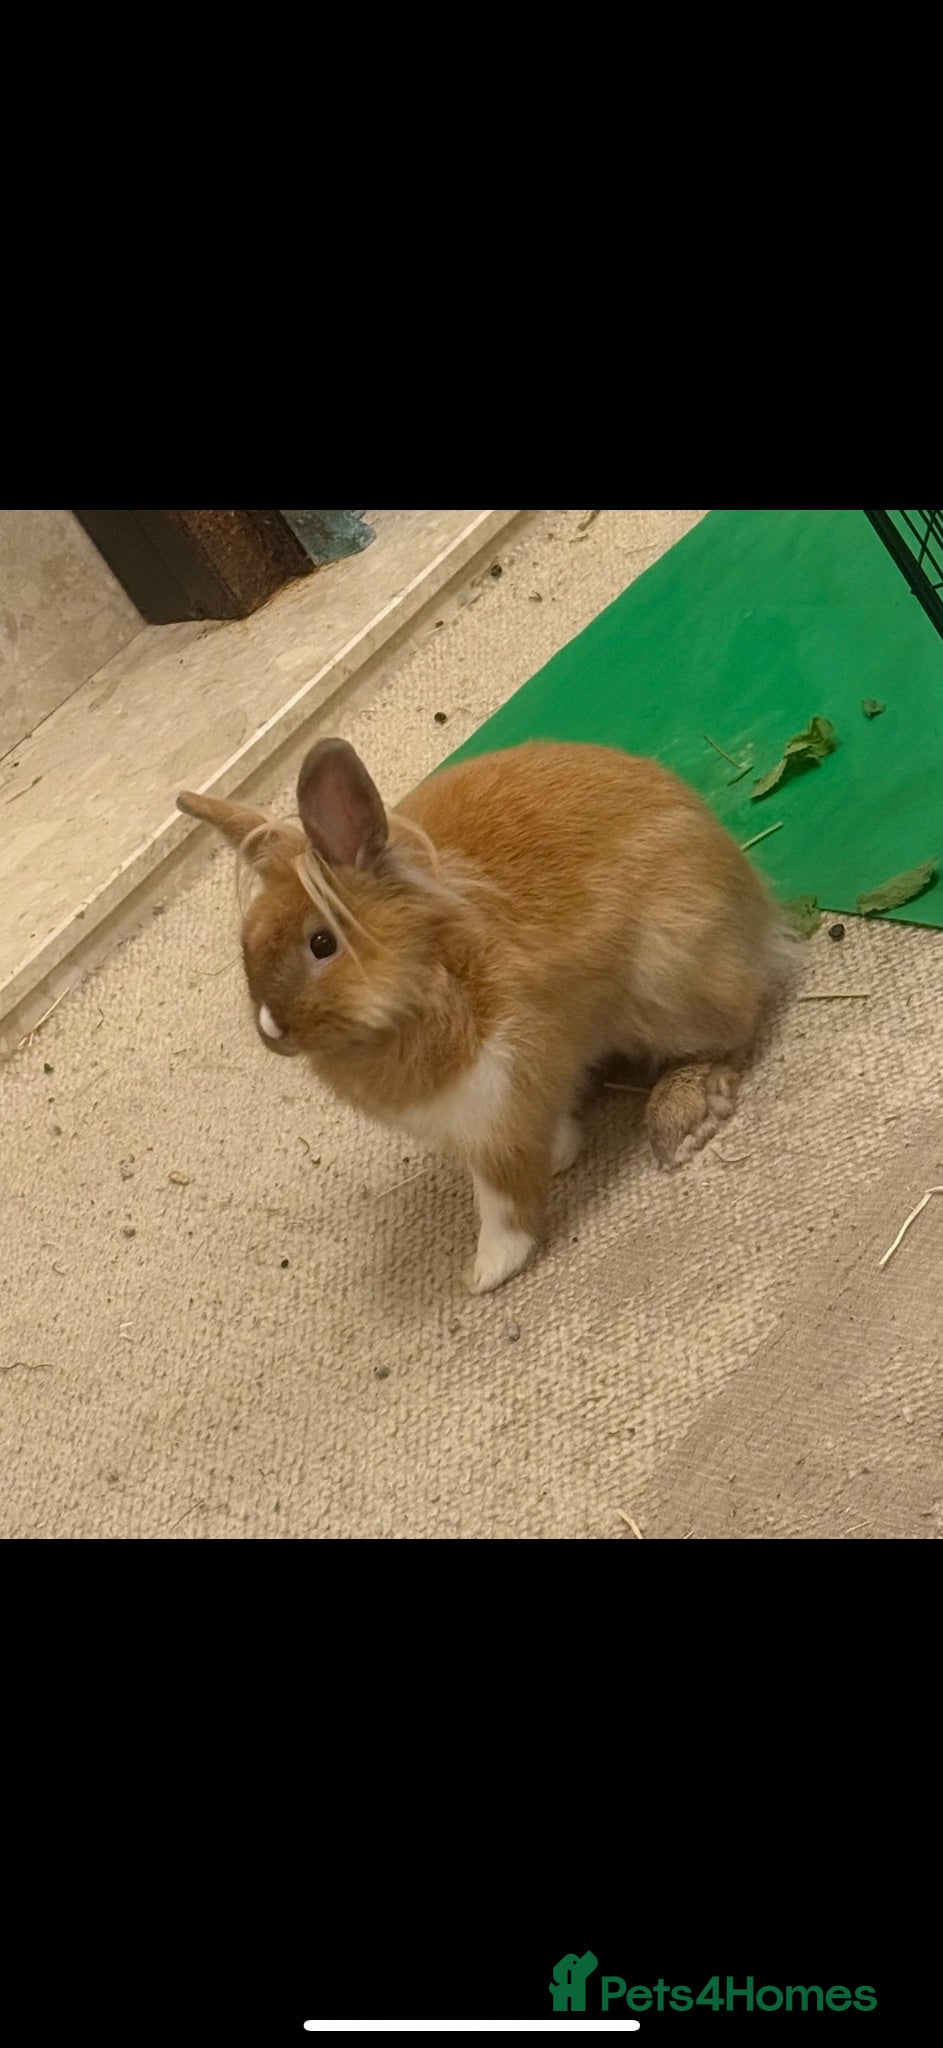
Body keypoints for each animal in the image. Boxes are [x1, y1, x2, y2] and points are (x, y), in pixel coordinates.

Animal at [177, 738, 794, 1294]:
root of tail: (755, 909)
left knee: (732, 1031)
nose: (271, 1030)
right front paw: (563, 1150)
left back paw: (684, 1112)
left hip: (673, 976)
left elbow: (502, 1197)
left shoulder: (500, 1101)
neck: (432, 973)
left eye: (322, 943)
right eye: (246, 947)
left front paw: (489, 1271)